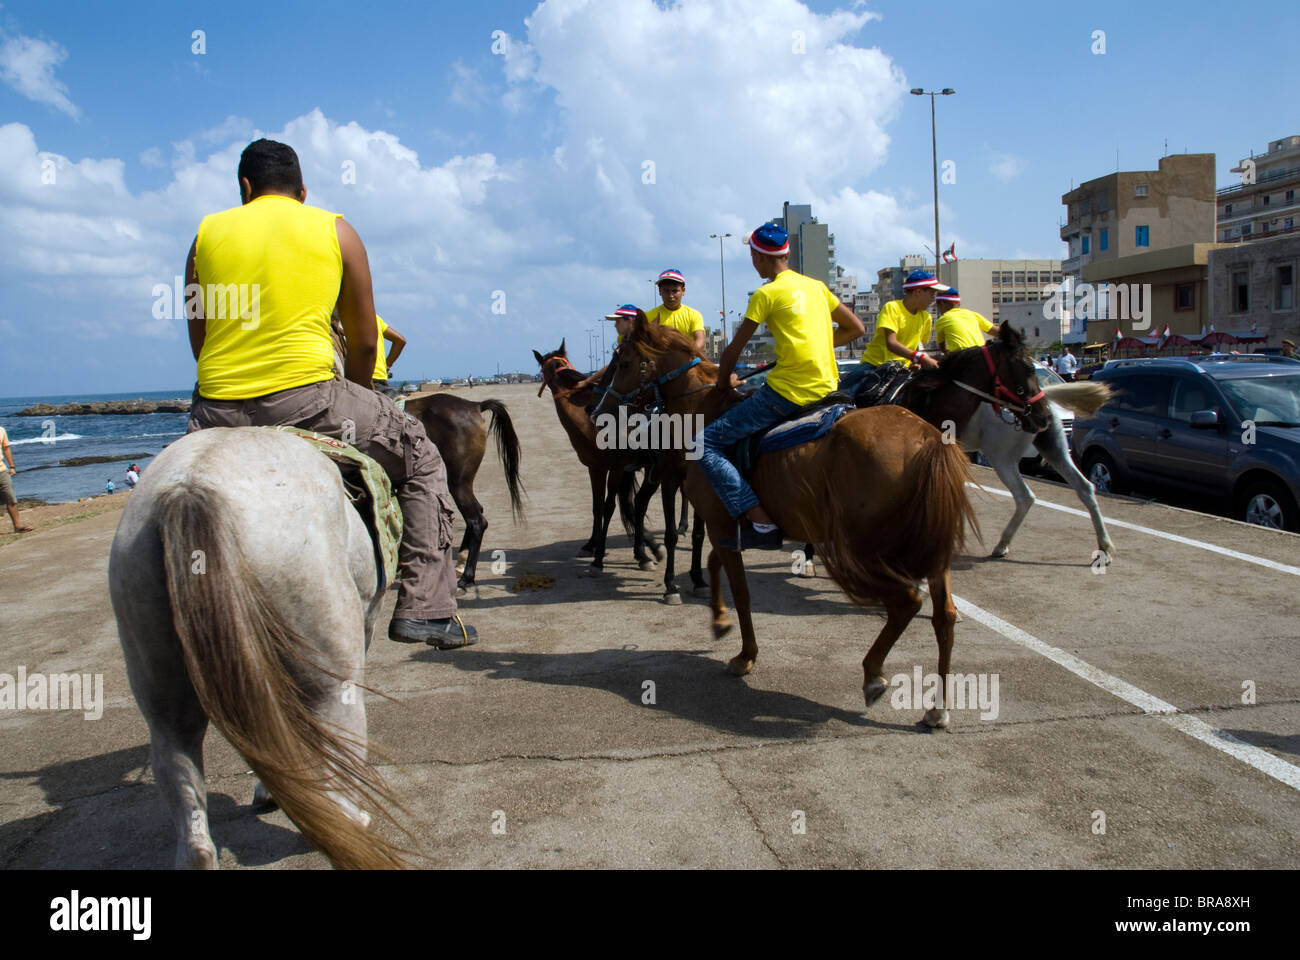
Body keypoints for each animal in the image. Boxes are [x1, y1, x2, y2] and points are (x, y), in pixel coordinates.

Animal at [533, 341, 663, 574]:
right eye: (549, 368)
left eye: (562, 363)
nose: (568, 375)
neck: (590, 420)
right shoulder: (595, 468)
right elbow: (598, 506)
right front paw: (591, 544)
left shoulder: (616, 468)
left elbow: (610, 507)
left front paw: (600, 555)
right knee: (637, 505)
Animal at [609, 317, 1040, 727]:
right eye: (1021, 367)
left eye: (624, 362)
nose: (605, 406)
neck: (706, 413)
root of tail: (928, 438)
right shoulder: (728, 526)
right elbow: (716, 566)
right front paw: (718, 620)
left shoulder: (720, 522)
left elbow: (741, 592)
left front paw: (745, 655)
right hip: (931, 551)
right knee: (943, 616)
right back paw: (937, 709)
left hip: (869, 547)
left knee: (906, 602)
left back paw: (874, 675)